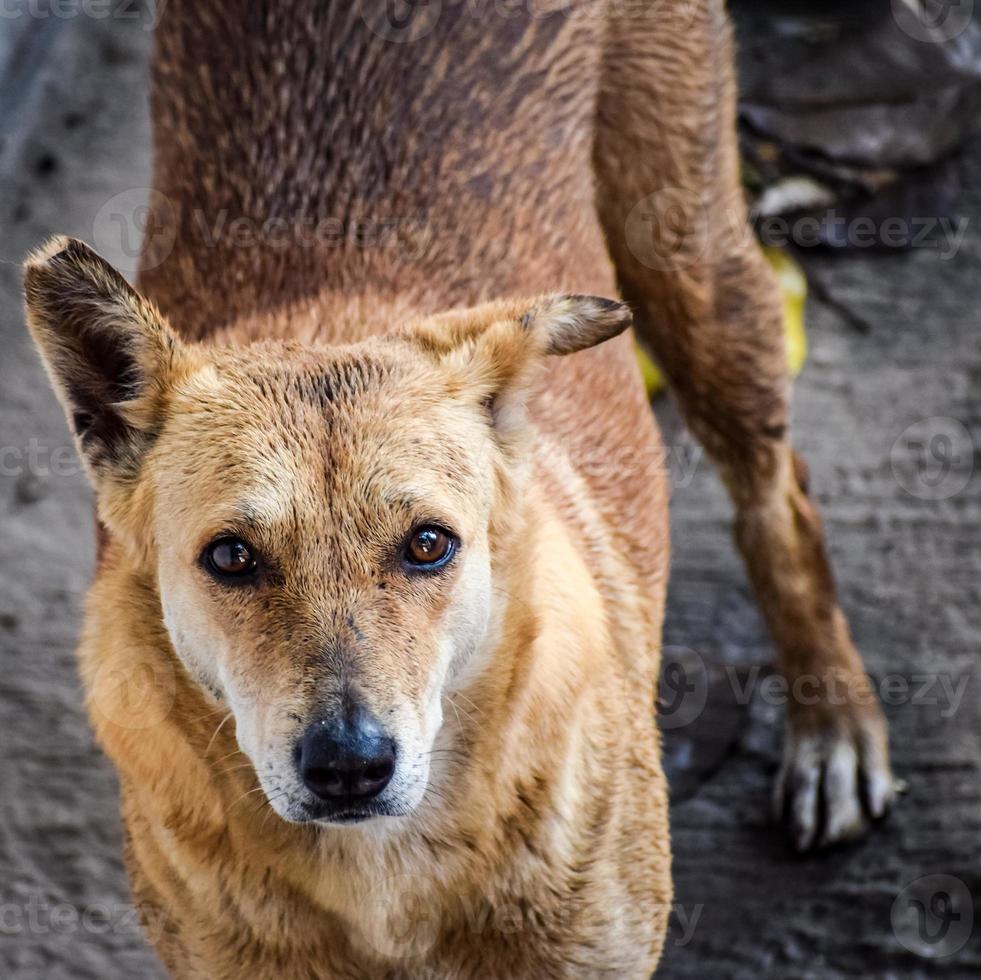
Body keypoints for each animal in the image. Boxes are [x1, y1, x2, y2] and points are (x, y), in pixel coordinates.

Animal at [23, 1, 896, 980]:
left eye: (429, 544)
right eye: (231, 556)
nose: (348, 767)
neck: (381, 886)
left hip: (694, 270)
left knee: (779, 498)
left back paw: (832, 731)